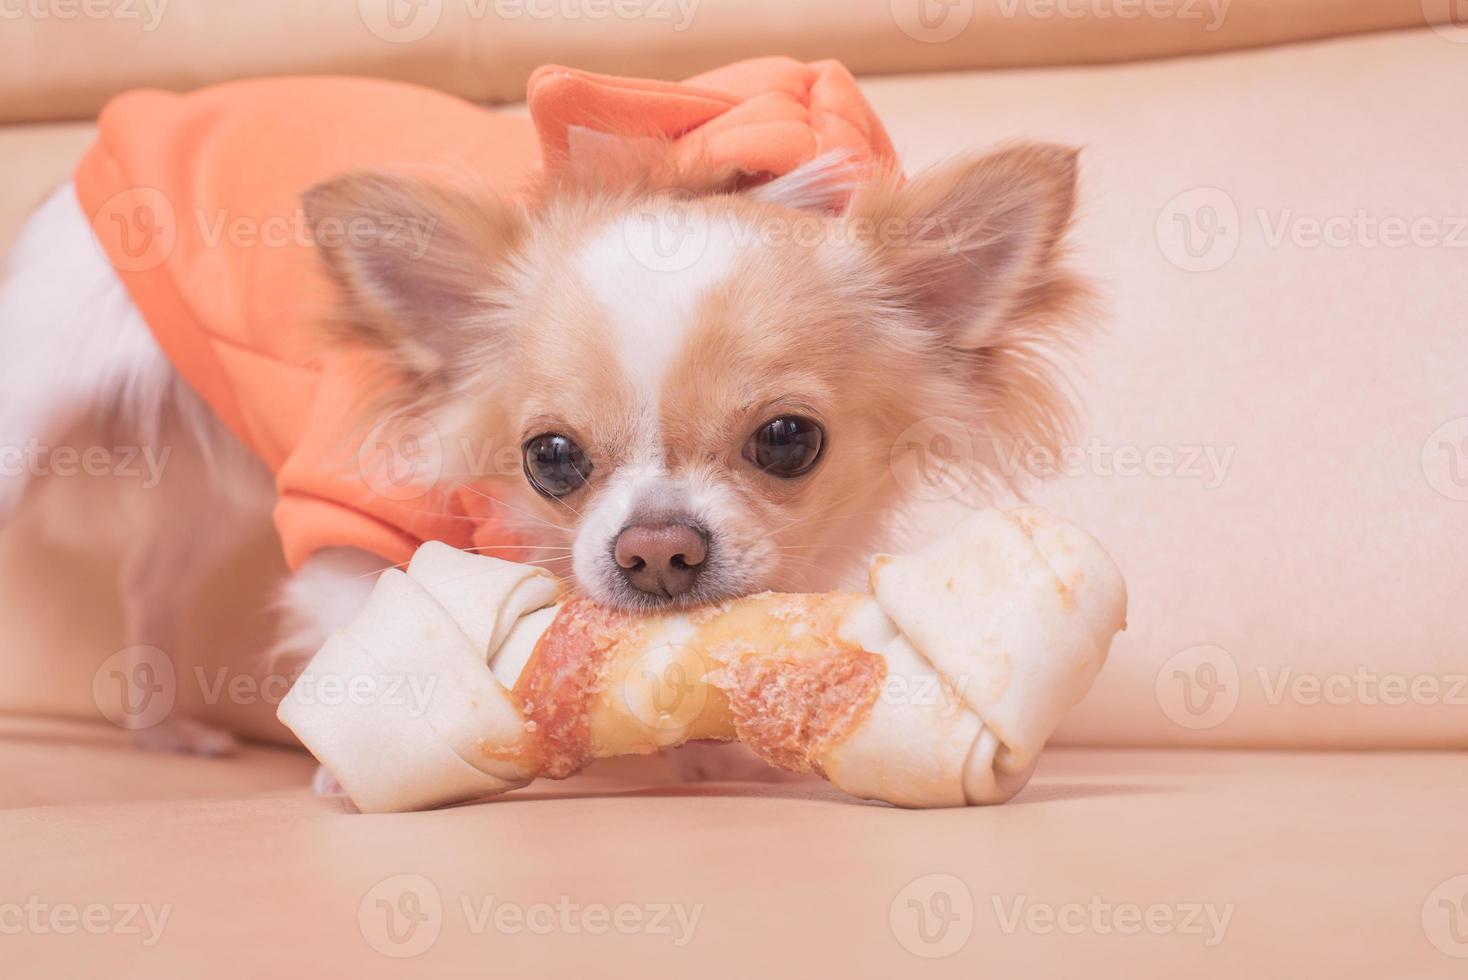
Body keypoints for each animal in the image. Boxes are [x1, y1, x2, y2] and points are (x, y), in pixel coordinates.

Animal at [0, 137, 1080, 757]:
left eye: (786, 441)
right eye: (550, 456)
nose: (655, 549)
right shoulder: (347, 516)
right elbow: (384, 629)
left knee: (148, 581)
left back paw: (162, 732)